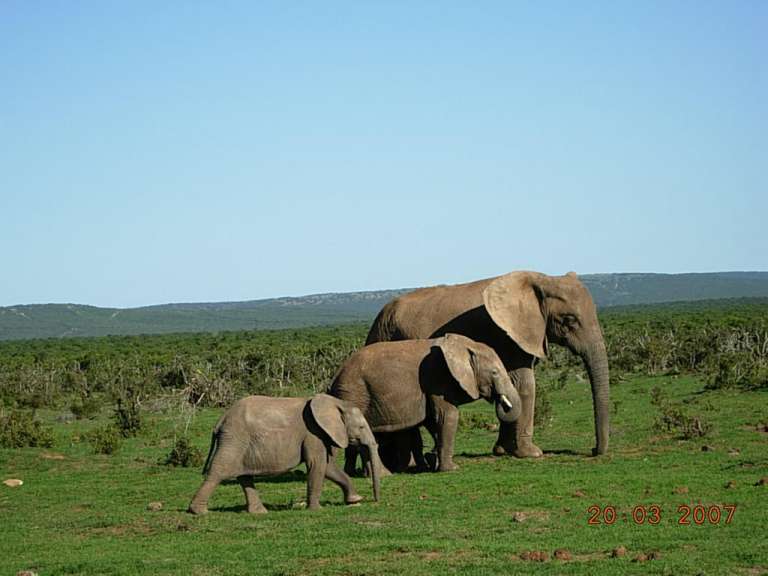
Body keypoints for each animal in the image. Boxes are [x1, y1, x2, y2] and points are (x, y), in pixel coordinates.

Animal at [188, 393, 381, 514]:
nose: (375, 501)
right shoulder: (313, 432)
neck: (337, 403)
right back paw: (199, 512)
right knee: (219, 470)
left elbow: (328, 468)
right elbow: (317, 465)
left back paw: (260, 512)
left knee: (244, 476)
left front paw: (355, 500)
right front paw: (316, 510)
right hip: (234, 438)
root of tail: (220, 420)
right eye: (361, 427)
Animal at [328, 333, 522, 473]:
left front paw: (432, 461)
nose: (499, 399)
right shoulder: (437, 378)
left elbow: (432, 420)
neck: (465, 345)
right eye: (495, 372)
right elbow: (447, 415)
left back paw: (352, 472)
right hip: (354, 393)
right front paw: (451, 469)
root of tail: (335, 376)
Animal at [366, 271, 610, 458]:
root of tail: (380, 314)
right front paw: (531, 453)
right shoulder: (506, 334)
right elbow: (525, 384)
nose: (593, 450)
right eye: (569, 320)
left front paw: (502, 451)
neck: (542, 279)